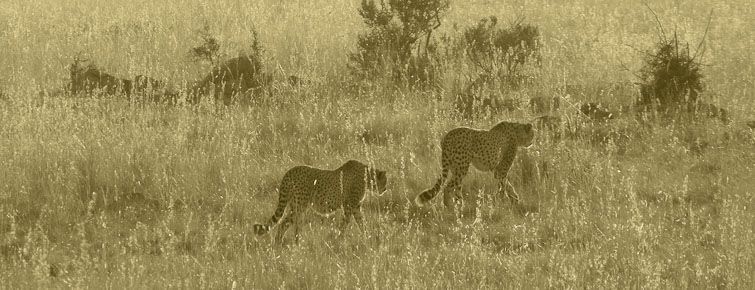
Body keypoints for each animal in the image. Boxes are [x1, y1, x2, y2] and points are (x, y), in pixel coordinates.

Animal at [255, 160, 390, 244]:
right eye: (385, 180)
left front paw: (367, 236)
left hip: (296, 205)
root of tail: (290, 171)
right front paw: (339, 239)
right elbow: (345, 223)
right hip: (300, 205)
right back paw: (282, 242)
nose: (385, 189)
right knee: (284, 222)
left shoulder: (356, 206)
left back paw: (295, 242)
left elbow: (361, 222)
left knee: (292, 223)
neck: (367, 175)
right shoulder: (349, 205)